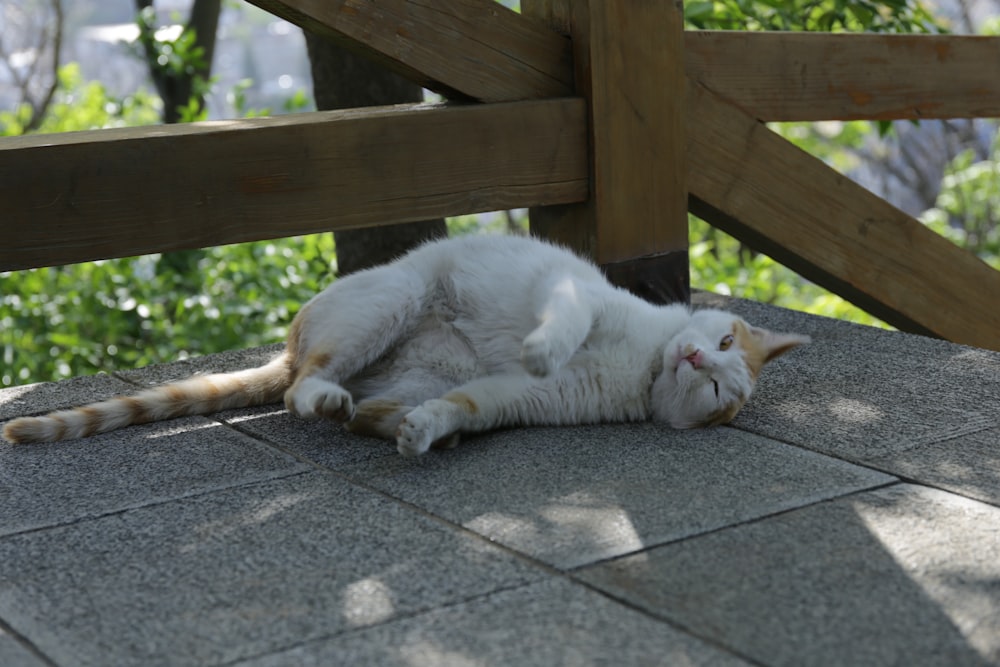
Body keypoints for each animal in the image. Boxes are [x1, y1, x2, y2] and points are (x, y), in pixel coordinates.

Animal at [0, 232, 808, 456]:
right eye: (722, 337)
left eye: (717, 392)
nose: (696, 357)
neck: (640, 363)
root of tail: (292, 347)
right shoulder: (569, 287)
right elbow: (564, 321)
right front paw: (546, 345)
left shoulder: (518, 399)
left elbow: (473, 403)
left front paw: (429, 432)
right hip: (392, 302)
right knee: (301, 387)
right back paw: (328, 395)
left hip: (409, 370)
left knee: (337, 403)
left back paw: (381, 420)